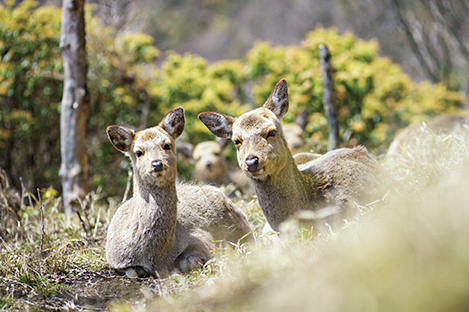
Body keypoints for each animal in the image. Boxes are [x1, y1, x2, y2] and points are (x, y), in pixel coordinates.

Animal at [105, 107, 252, 278]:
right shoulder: (115, 260)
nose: (157, 164)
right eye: (138, 152)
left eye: (167, 145)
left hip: (236, 217)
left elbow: (188, 262)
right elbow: (133, 271)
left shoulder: (203, 241)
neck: (156, 256)